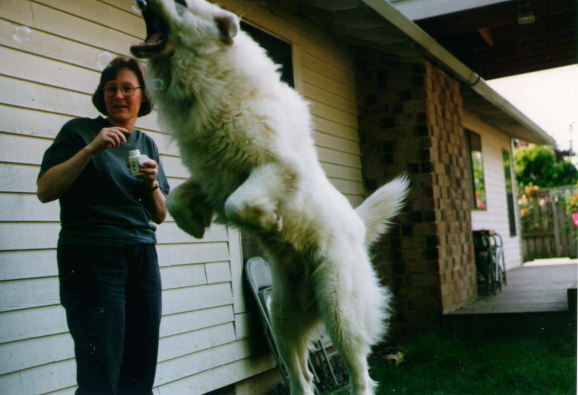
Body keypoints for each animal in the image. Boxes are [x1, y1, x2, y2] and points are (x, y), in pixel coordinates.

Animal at [130, 0, 410, 392]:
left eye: (184, 3)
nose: (144, 0)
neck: (210, 80)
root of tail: (357, 225)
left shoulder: (278, 166)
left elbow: (239, 203)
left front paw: (269, 220)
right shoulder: (212, 178)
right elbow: (177, 199)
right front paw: (195, 226)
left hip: (340, 310)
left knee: (360, 372)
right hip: (282, 318)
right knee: (301, 373)